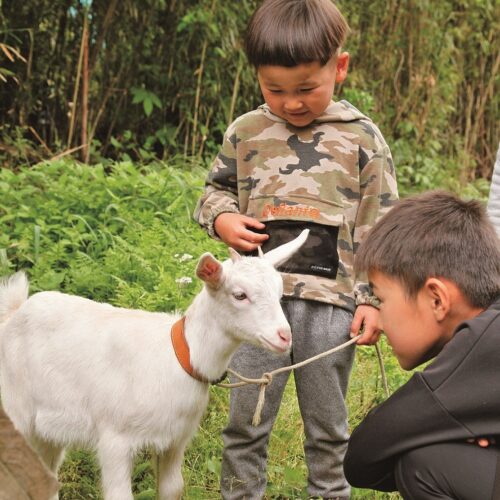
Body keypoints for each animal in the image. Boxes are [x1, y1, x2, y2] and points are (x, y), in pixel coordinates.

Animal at [0, 229, 306, 496]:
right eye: (239, 294)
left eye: (280, 293)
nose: (285, 336)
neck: (180, 356)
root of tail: (13, 314)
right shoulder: (114, 440)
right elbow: (119, 494)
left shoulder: (175, 440)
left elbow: (172, 488)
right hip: (14, 410)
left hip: (47, 431)